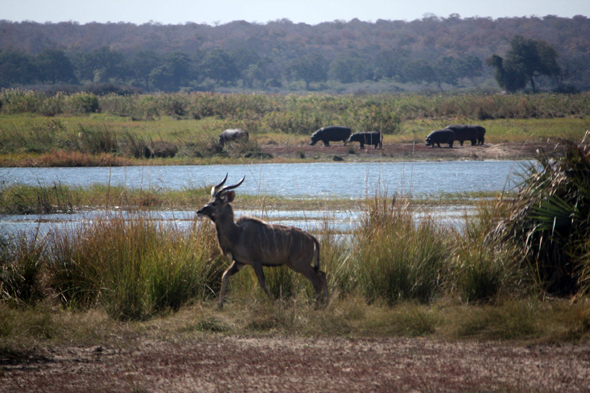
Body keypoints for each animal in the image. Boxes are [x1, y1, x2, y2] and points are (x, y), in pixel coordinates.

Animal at [198, 175, 328, 306]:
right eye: (209, 201)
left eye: (214, 203)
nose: (199, 211)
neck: (237, 233)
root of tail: (311, 238)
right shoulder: (239, 262)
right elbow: (225, 275)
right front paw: (219, 305)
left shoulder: (256, 261)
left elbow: (263, 283)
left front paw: (273, 302)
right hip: (294, 264)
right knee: (322, 275)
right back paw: (325, 303)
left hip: (300, 264)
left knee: (317, 280)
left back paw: (316, 306)